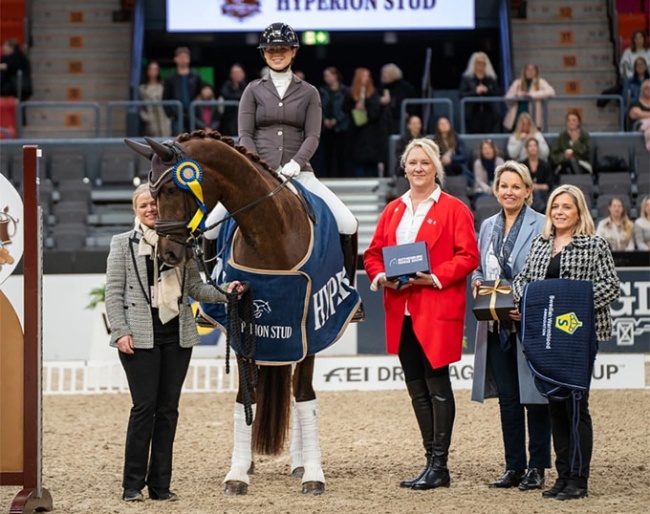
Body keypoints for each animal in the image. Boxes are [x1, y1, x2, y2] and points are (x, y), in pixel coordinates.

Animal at [124, 130, 356, 494]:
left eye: (173, 189)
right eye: (151, 193)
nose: (168, 254)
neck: (272, 231)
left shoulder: (310, 329)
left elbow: (305, 397)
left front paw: (314, 474)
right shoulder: (244, 323)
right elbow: (244, 396)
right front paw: (237, 473)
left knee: (296, 393)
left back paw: (300, 462)